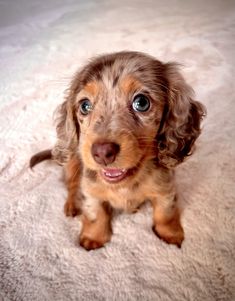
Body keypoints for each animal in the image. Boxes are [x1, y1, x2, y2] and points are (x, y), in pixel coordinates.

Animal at [29, 51, 206, 248]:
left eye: (141, 103)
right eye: (85, 106)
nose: (102, 153)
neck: (124, 184)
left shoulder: (165, 189)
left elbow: (165, 213)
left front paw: (170, 234)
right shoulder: (91, 191)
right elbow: (95, 213)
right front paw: (93, 237)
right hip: (73, 161)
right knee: (72, 184)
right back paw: (72, 204)